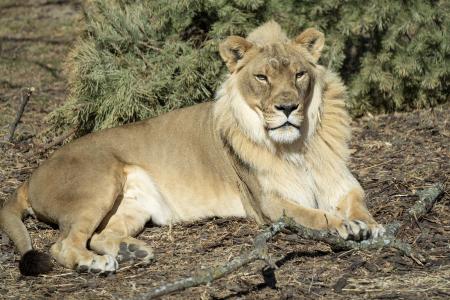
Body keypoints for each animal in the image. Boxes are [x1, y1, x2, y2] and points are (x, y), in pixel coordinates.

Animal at [0, 21, 384, 276]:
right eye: (262, 77)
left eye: (299, 74)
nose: (287, 107)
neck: (298, 146)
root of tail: (30, 176)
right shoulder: (269, 203)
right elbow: (315, 215)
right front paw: (347, 226)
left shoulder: (341, 183)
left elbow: (358, 203)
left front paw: (372, 225)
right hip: (99, 183)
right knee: (64, 244)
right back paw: (95, 264)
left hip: (132, 206)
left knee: (100, 234)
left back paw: (131, 252)